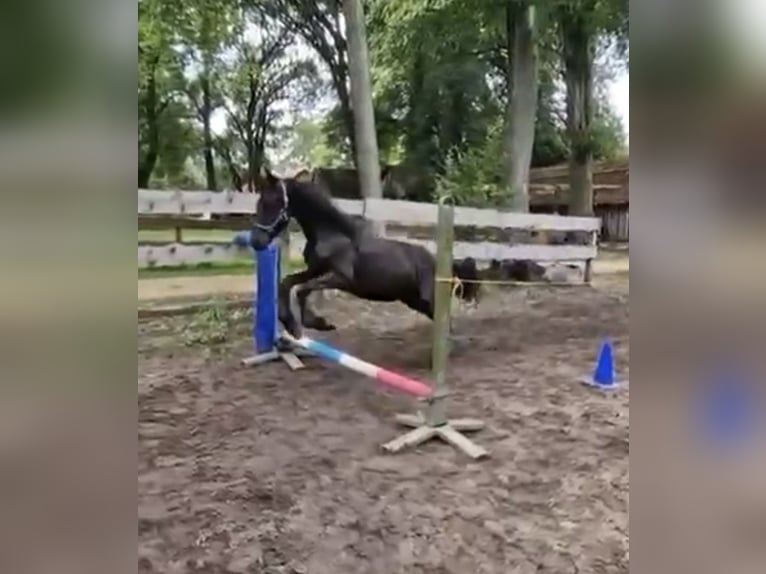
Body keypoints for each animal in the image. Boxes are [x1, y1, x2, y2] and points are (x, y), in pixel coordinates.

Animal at [248, 168, 479, 338]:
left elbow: (302, 290)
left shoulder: (342, 279)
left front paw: (317, 324)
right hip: (413, 300)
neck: (333, 234)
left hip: (428, 299)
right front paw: (291, 324)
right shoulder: (315, 269)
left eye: (273, 202)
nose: (256, 242)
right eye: (259, 203)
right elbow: (287, 283)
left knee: (446, 321)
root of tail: (439, 262)